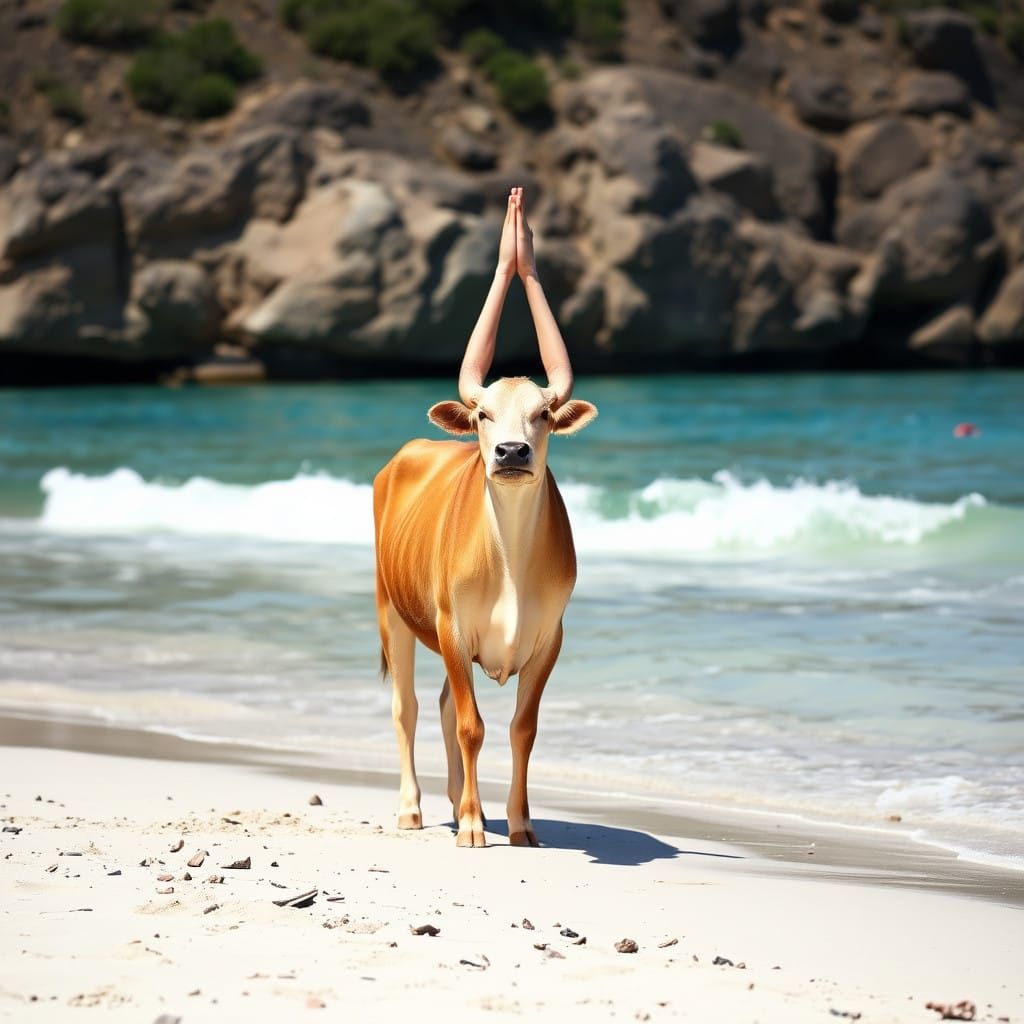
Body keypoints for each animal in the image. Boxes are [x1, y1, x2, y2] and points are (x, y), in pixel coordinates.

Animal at [373, 187, 598, 848]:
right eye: (482, 416)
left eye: (543, 415)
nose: (512, 453)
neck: (512, 564)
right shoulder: (452, 629)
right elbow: (472, 726)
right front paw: (474, 825)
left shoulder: (549, 640)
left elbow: (522, 728)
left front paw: (519, 825)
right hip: (391, 614)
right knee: (409, 709)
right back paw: (415, 809)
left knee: (445, 705)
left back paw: (454, 801)